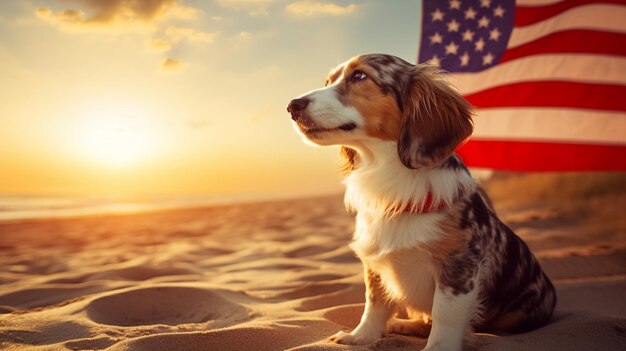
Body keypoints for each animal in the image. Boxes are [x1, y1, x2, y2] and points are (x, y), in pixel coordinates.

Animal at [286, 54, 552, 351]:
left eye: (359, 76)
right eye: (328, 81)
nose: (292, 106)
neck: (392, 178)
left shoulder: (458, 265)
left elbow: (444, 315)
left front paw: (438, 347)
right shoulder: (374, 263)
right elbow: (374, 302)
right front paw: (361, 336)